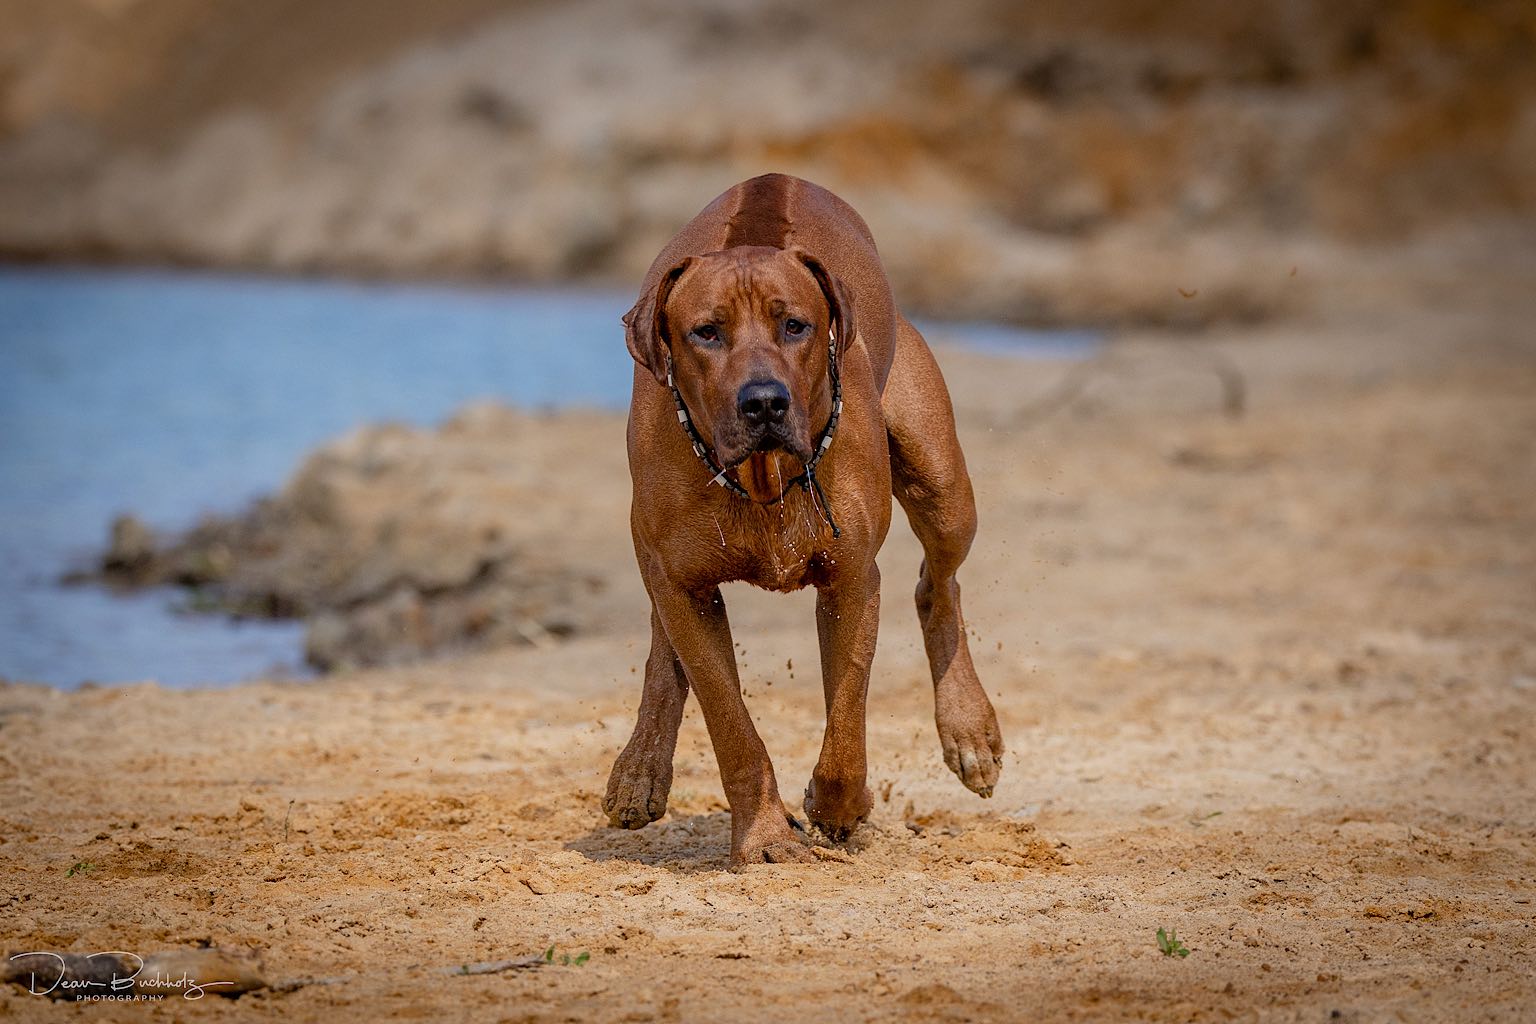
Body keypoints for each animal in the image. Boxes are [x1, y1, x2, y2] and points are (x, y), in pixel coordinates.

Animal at [605, 174, 1001, 865]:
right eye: (706, 333)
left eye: (795, 326)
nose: (764, 401)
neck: (762, 476)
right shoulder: (684, 584)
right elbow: (730, 724)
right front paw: (765, 834)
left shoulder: (852, 579)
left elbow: (846, 721)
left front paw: (836, 807)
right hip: (655, 548)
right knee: (662, 634)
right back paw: (640, 770)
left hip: (943, 485)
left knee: (938, 585)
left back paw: (968, 728)